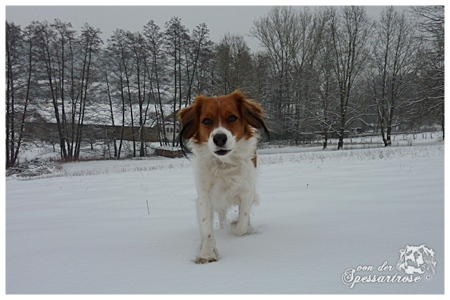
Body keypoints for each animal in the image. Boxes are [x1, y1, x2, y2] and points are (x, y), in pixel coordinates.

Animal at [177, 89, 268, 262]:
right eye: (206, 120)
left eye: (232, 117)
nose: (219, 138)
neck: (223, 164)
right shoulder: (205, 196)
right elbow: (206, 225)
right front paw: (207, 252)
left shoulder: (246, 191)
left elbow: (242, 223)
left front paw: (236, 225)